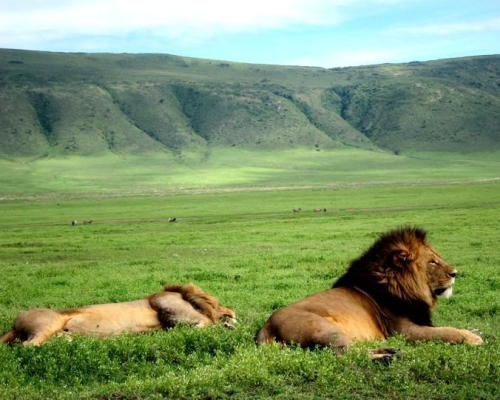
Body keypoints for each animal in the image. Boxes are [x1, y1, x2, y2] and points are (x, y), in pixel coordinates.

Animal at [0, 282, 235, 346]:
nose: (232, 316)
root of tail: (14, 324)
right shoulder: (171, 309)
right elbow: (207, 321)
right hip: (49, 323)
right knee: (28, 345)